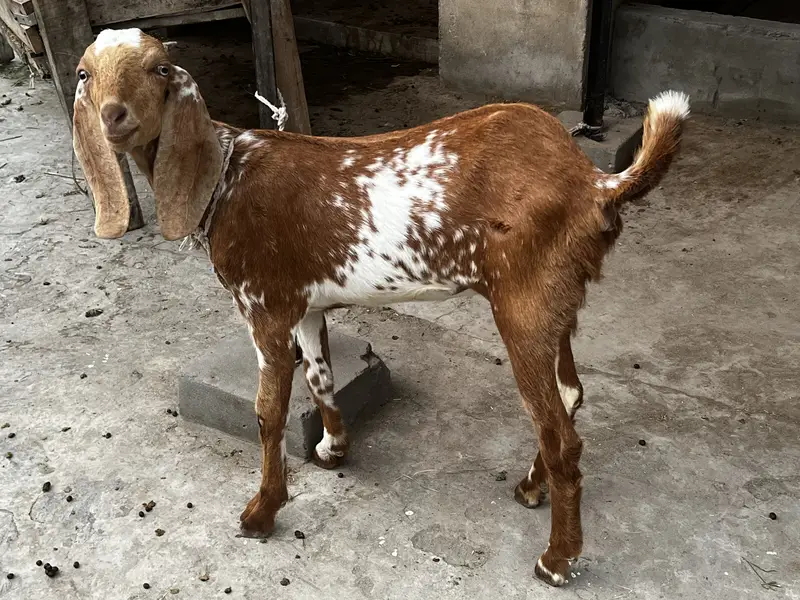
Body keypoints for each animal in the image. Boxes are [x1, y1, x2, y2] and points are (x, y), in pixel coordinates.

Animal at [72, 28, 689, 586]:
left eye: (159, 68)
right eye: (84, 73)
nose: (113, 116)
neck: (226, 175)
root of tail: (594, 183)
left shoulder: (264, 304)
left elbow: (268, 412)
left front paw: (261, 511)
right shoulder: (305, 303)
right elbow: (320, 375)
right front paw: (333, 448)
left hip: (525, 302)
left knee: (560, 434)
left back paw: (557, 559)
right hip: (556, 300)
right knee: (570, 393)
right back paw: (531, 487)